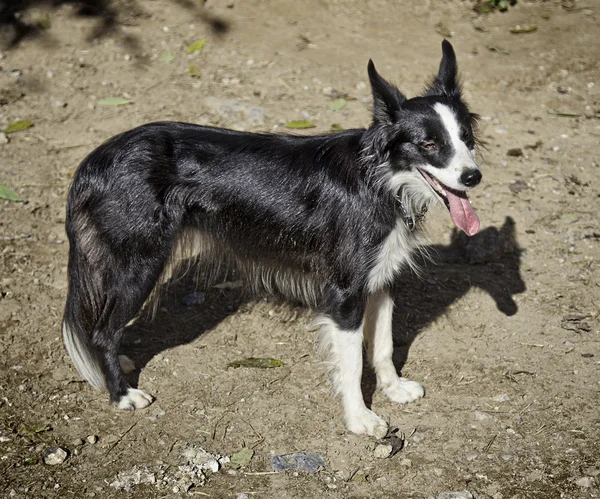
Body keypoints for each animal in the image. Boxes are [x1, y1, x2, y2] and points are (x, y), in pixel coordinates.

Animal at [62, 41, 482, 436]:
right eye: (428, 144)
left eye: (467, 138)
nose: (473, 177)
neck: (380, 181)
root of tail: (94, 160)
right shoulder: (346, 294)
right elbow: (351, 364)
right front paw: (359, 419)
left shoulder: (380, 280)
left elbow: (382, 346)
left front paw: (393, 389)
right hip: (139, 264)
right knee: (102, 331)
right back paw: (121, 393)